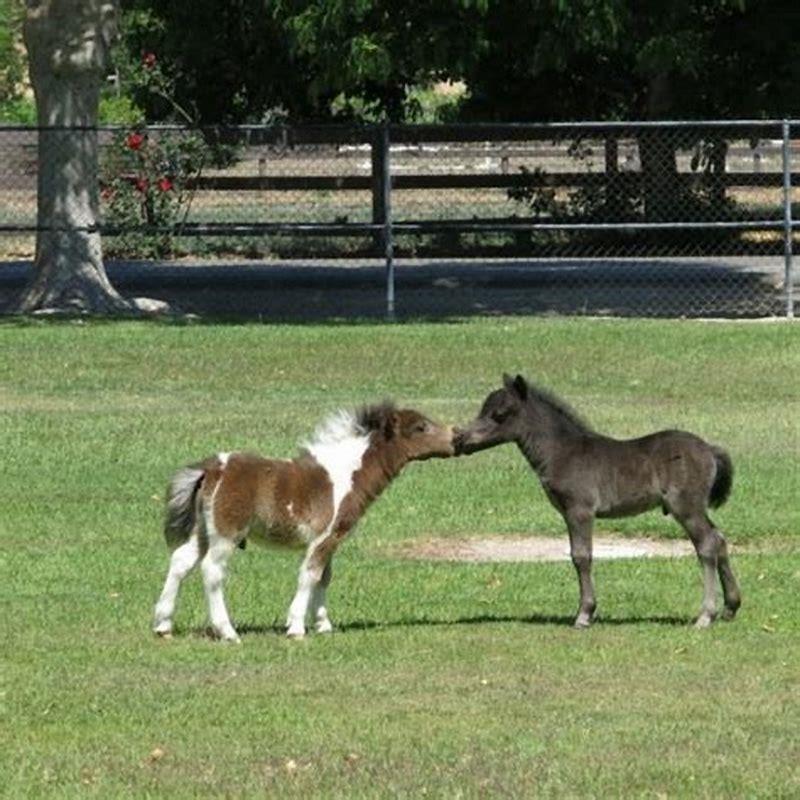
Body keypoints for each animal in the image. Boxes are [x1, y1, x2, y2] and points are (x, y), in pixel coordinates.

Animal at [153, 404, 454, 640]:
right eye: (420, 427)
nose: (456, 437)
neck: (345, 475)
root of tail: (212, 469)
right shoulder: (324, 537)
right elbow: (309, 575)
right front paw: (296, 627)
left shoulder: (331, 540)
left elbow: (324, 577)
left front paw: (323, 625)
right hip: (226, 533)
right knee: (212, 571)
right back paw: (227, 632)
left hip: (202, 531)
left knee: (180, 561)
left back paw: (163, 625)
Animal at [456, 376, 744, 632]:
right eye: (483, 409)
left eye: (500, 414)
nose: (461, 439)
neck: (563, 452)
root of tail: (710, 449)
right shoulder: (568, 513)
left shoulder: (579, 510)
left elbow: (581, 556)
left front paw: (584, 614)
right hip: (695, 508)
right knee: (719, 539)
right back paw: (730, 607)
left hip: (686, 507)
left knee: (706, 544)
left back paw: (705, 615)